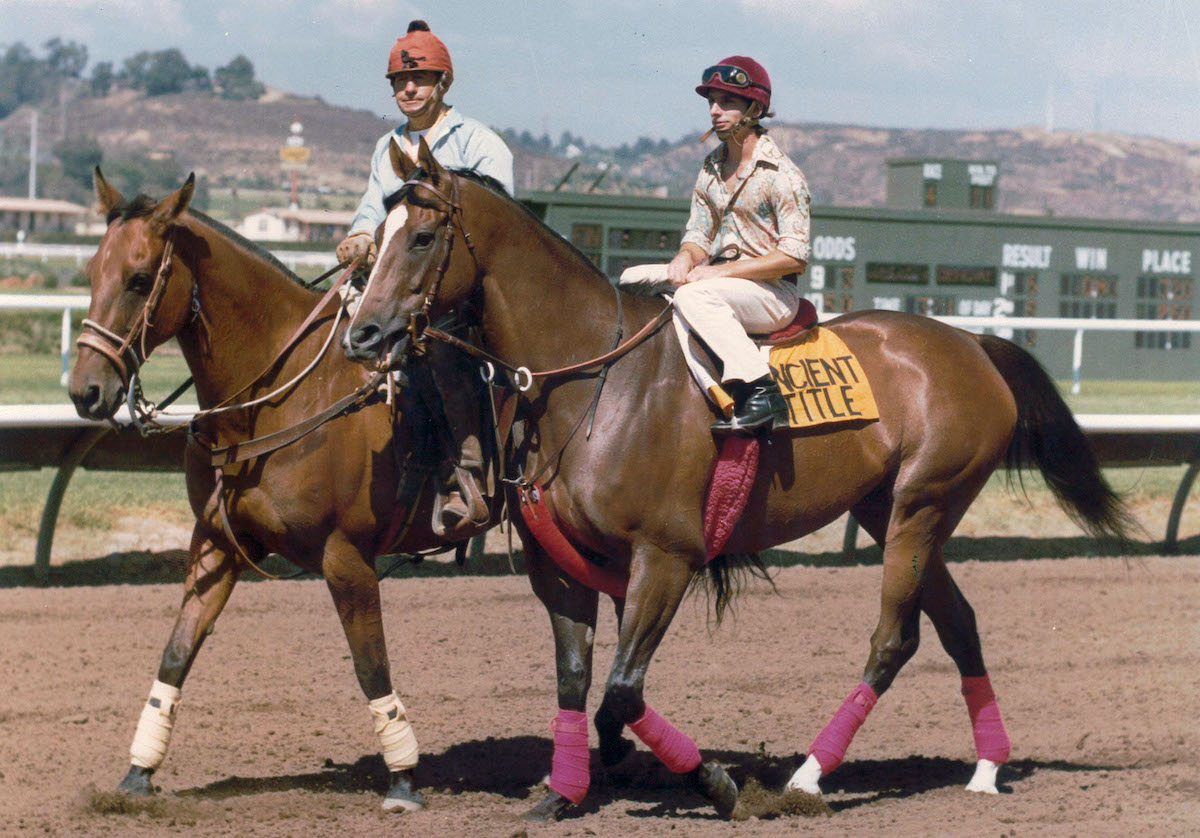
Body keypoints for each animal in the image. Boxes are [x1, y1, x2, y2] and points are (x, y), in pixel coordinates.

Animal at [340, 142, 1132, 816]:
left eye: (420, 238)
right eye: (375, 237)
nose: (362, 335)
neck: (592, 377)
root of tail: (972, 343)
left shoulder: (667, 556)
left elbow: (623, 690)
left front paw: (718, 783)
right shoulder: (557, 565)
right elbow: (576, 679)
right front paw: (564, 792)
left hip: (924, 505)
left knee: (895, 637)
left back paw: (808, 775)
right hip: (891, 511)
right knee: (957, 623)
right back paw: (986, 767)